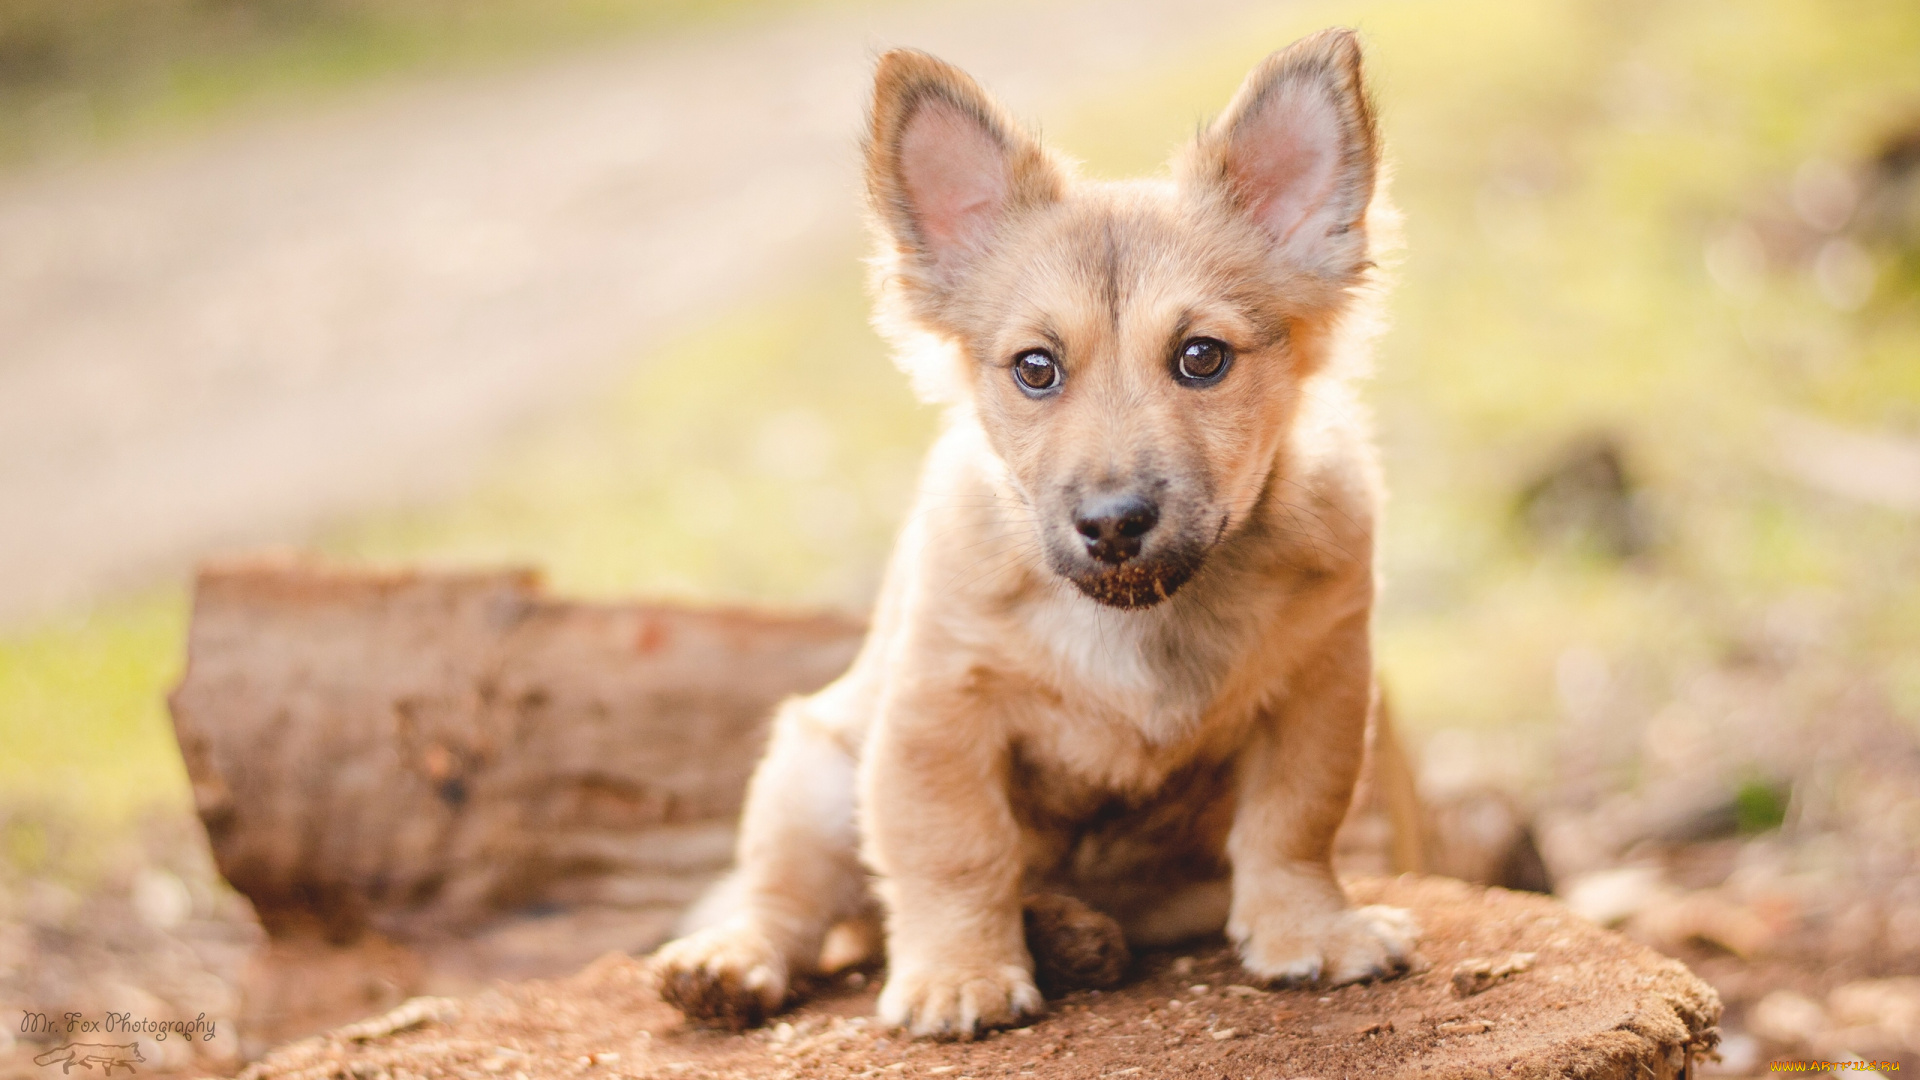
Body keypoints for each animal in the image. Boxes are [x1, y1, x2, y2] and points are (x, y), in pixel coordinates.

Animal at [652, 27, 1420, 1037]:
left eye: (1201, 358)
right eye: (1035, 368)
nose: (1112, 523)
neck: (1142, 612)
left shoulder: (1319, 687)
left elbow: (1293, 822)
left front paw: (1310, 929)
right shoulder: (940, 712)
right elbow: (956, 849)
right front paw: (960, 973)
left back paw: (1070, 931)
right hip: (809, 772)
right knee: (786, 901)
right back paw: (732, 959)